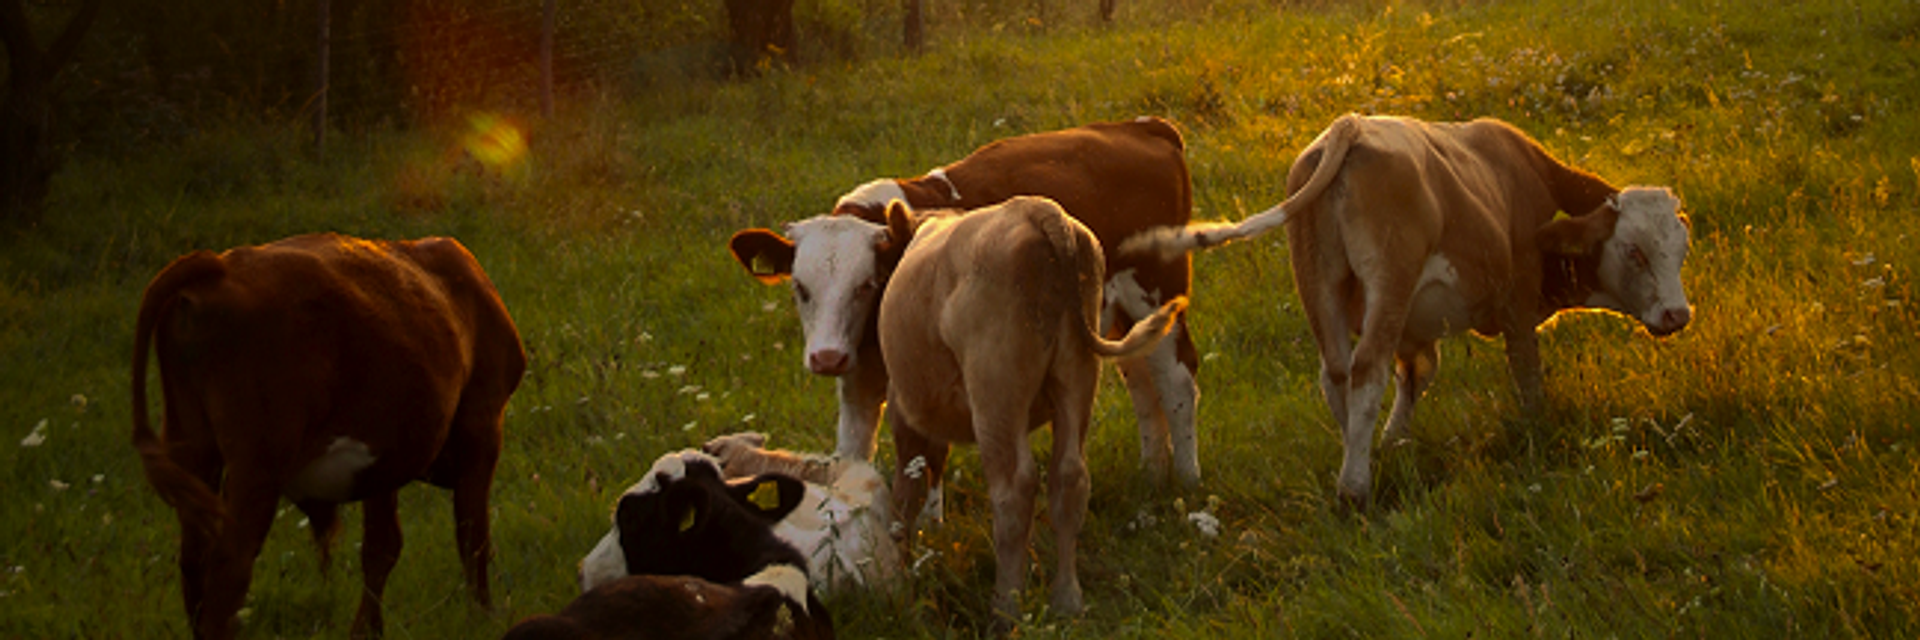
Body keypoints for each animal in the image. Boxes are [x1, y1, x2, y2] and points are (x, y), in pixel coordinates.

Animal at [129, 233, 527, 639]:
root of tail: (218, 267)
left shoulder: (383, 458)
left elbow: (382, 545)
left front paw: (368, 630)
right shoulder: (482, 422)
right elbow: (472, 535)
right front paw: (482, 616)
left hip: (192, 444)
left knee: (193, 562)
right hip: (258, 462)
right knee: (229, 568)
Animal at [727, 116, 1205, 497]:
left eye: (866, 285)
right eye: (800, 288)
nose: (826, 357)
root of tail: (1142, 127)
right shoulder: (858, 382)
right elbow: (851, 456)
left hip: (1157, 288)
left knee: (1177, 378)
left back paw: (1187, 481)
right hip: (1120, 314)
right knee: (1142, 379)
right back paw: (1152, 475)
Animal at [875, 196, 1187, 625]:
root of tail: (1036, 210)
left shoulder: (905, 412)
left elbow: (905, 496)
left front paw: (897, 581)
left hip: (996, 390)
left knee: (1014, 489)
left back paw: (1005, 607)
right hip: (1076, 375)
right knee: (1070, 477)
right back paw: (1067, 599)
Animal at [1124, 114, 1693, 503]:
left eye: (1682, 249)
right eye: (1635, 251)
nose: (1677, 315)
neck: (1523, 174)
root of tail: (1349, 127)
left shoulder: (1415, 329)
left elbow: (1418, 373)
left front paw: (1393, 440)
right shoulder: (1516, 301)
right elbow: (1527, 375)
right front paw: (1536, 429)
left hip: (1320, 282)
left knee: (1336, 374)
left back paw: (1354, 456)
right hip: (1389, 278)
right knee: (1366, 369)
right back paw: (1355, 488)